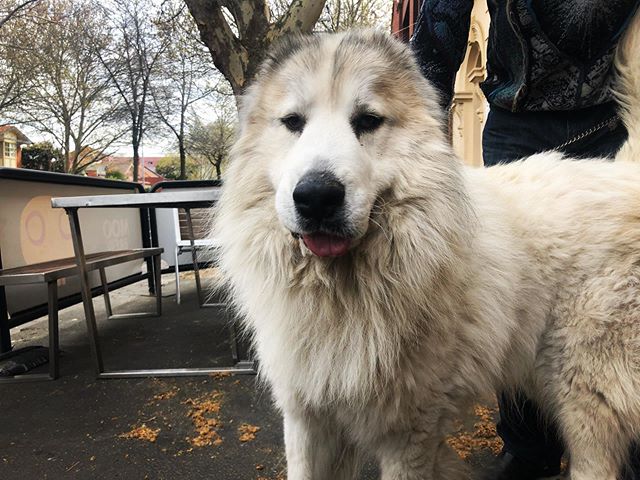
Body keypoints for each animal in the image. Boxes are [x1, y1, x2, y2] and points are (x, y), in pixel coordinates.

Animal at [214, 15, 640, 480]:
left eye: (368, 121)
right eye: (293, 122)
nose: (316, 197)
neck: (345, 293)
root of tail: (625, 171)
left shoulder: (409, 434)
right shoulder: (308, 417)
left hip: (585, 394)